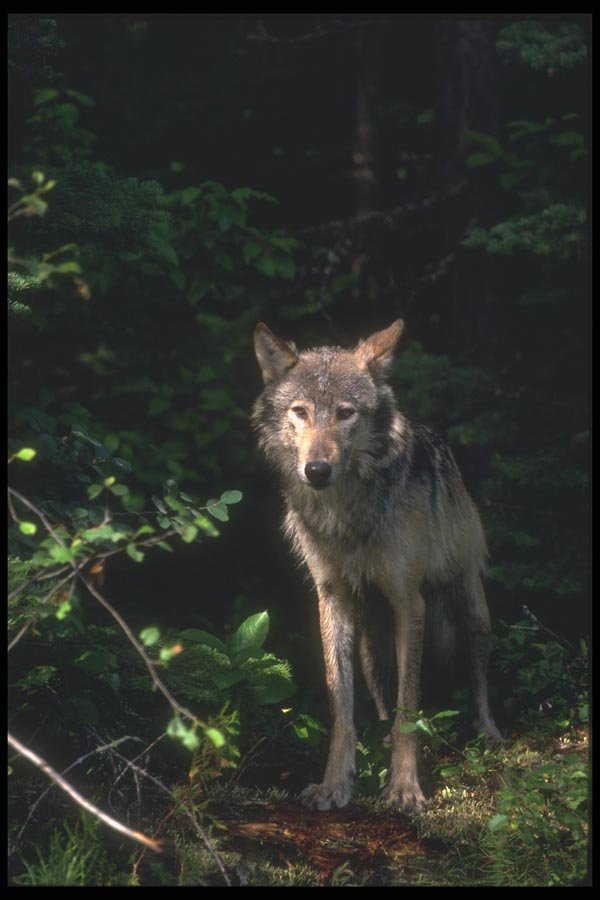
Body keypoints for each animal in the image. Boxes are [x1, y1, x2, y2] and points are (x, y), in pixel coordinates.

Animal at [252, 319, 502, 813]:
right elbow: (342, 707)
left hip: (471, 613)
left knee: (477, 679)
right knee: (383, 701)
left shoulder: (410, 600)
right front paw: (335, 785)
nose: (317, 470)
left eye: (346, 413)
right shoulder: (331, 599)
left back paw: (487, 732)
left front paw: (404, 788)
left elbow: (410, 704)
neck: (347, 513)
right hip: (371, 645)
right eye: (301, 412)